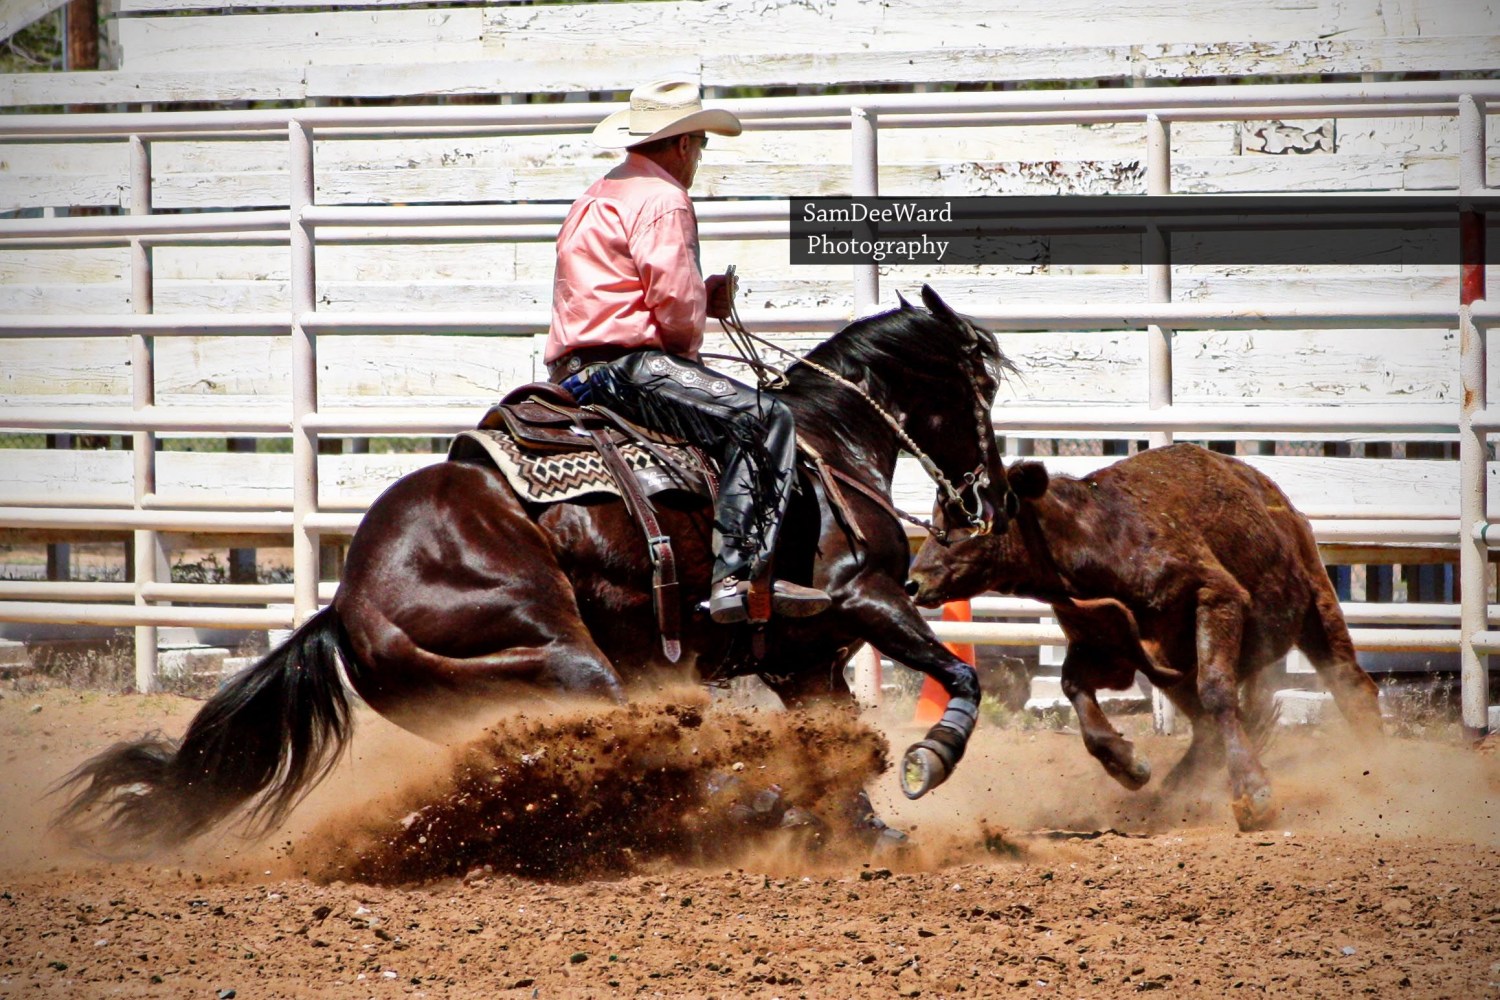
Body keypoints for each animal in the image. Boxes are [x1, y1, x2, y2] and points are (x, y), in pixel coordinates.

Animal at [58, 283, 1020, 851]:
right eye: (984, 386)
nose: (989, 500)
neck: (825, 444)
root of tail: (348, 606)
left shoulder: (801, 657)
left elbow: (838, 743)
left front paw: (865, 833)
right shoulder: (864, 597)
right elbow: (955, 676)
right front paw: (928, 760)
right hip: (570, 663)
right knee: (660, 754)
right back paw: (752, 805)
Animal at [900, 443, 1380, 827]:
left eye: (968, 519)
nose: (913, 582)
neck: (1092, 538)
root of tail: (1274, 495)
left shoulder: (1217, 597)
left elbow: (1218, 691)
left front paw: (1252, 791)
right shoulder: (1106, 645)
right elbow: (1074, 688)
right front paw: (1128, 765)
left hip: (1316, 606)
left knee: (1350, 684)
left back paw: (1376, 768)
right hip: (1176, 671)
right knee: (1204, 729)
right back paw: (1171, 791)